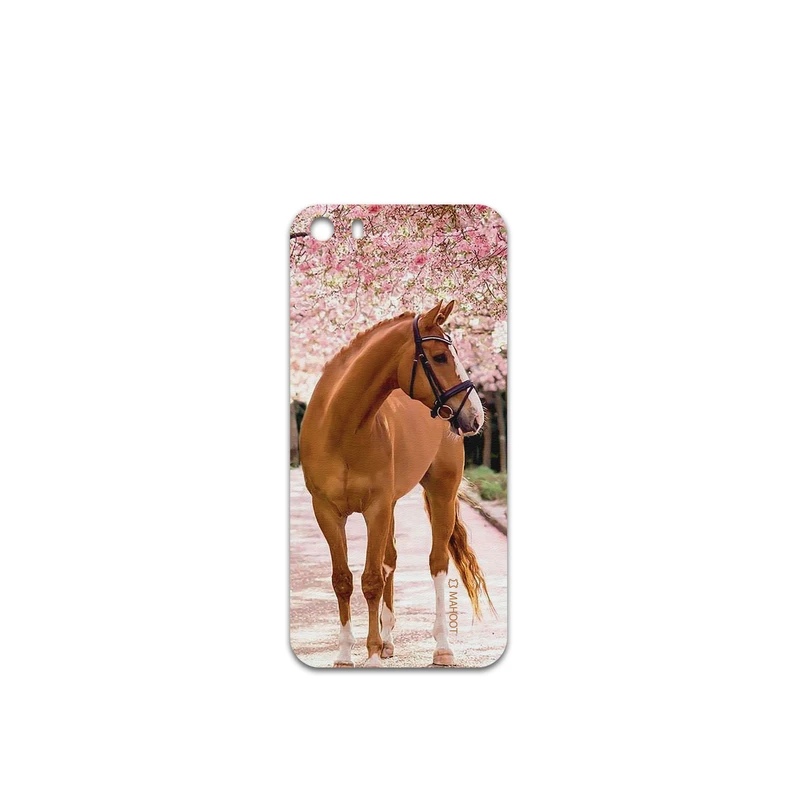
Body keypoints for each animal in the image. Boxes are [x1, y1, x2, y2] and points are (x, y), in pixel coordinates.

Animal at [299, 300, 494, 667]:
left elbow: (371, 579)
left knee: (437, 563)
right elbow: (343, 579)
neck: (342, 428)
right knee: (390, 559)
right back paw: (389, 641)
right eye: (440, 357)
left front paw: (372, 654)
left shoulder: (375, 508)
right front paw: (345, 654)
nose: (475, 416)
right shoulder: (327, 512)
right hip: (390, 505)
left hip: (441, 494)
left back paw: (441, 648)